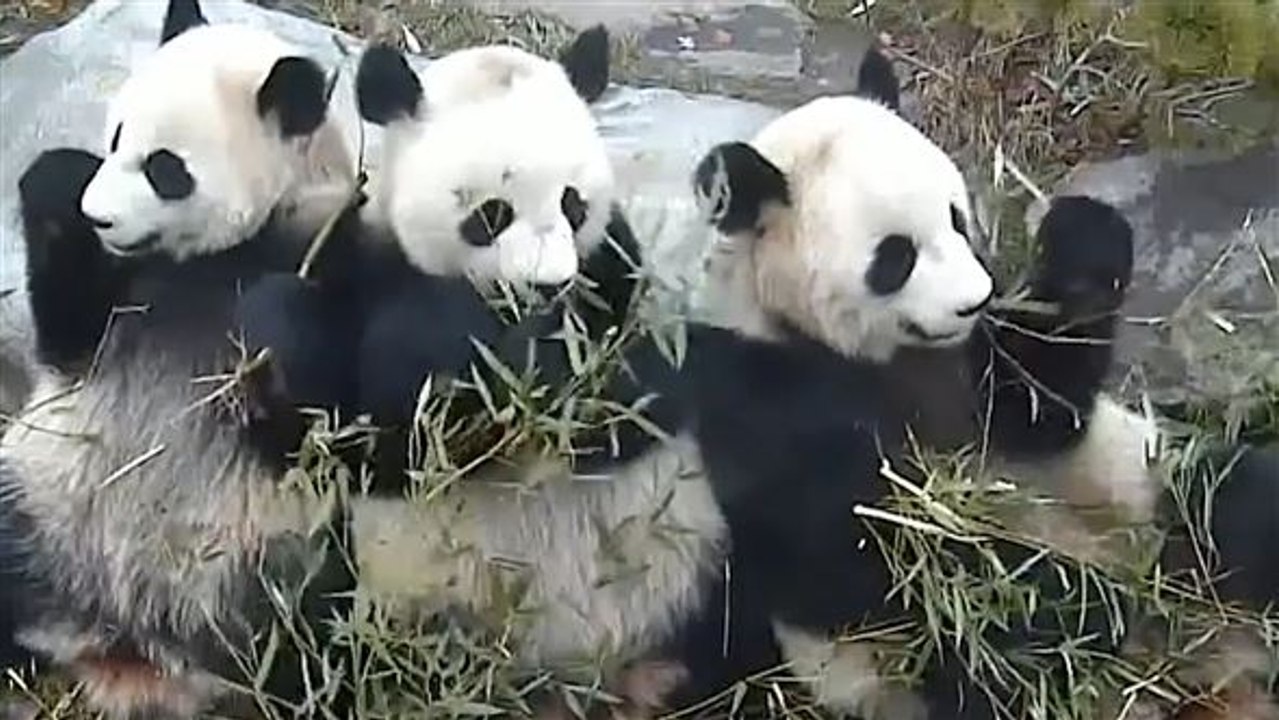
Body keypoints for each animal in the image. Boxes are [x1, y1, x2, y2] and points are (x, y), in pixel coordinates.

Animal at [0, 0, 360, 716]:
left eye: (165, 168)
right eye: (114, 137)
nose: (99, 216)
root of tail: (122, 644)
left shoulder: (325, 249)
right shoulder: (122, 298)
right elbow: (67, 333)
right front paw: (59, 180)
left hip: (266, 559)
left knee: (308, 641)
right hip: (32, 499)